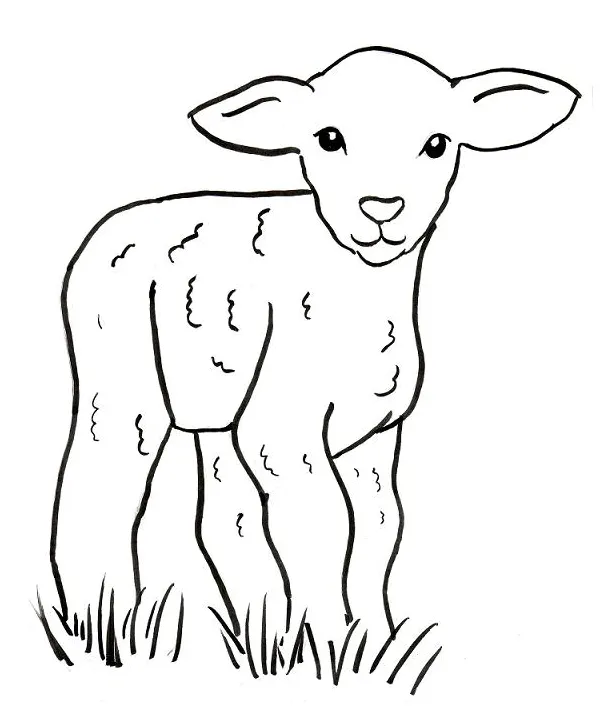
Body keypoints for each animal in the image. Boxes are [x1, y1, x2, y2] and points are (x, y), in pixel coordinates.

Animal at [49, 46, 579, 663]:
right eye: (328, 138)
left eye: (437, 142)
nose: (382, 207)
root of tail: (110, 227)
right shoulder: (283, 427)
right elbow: (324, 522)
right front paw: (328, 642)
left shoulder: (376, 433)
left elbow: (380, 526)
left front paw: (375, 642)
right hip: (117, 369)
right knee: (100, 483)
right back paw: (103, 627)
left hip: (216, 406)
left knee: (226, 519)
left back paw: (258, 632)